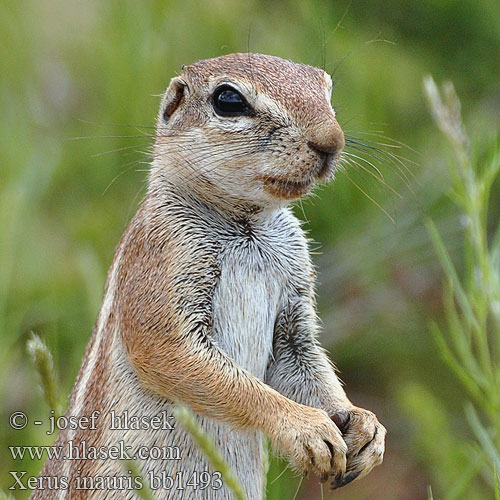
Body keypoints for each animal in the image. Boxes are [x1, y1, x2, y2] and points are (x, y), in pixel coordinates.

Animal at [31, 52, 386, 498]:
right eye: (228, 100)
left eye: (326, 88)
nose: (331, 141)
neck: (247, 226)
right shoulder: (164, 258)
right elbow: (174, 354)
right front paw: (305, 427)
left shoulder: (294, 302)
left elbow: (304, 357)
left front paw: (364, 424)